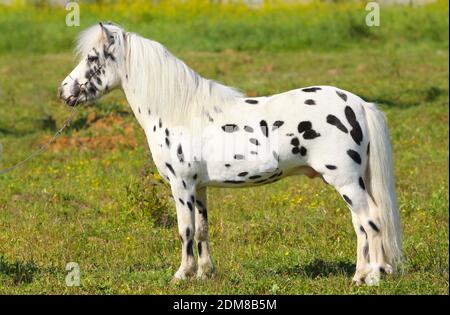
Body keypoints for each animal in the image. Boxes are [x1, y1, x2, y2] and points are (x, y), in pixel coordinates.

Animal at [59, 23, 400, 288]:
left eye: (92, 57)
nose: (64, 92)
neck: (180, 112)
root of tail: (358, 104)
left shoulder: (181, 185)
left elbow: (184, 229)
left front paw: (181, 275)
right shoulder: (199, 188)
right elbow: (202, 229)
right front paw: (205, 273)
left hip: (345, 181)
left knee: (371, 220)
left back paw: (373, 277)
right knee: (360, 225)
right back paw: (359, 276)